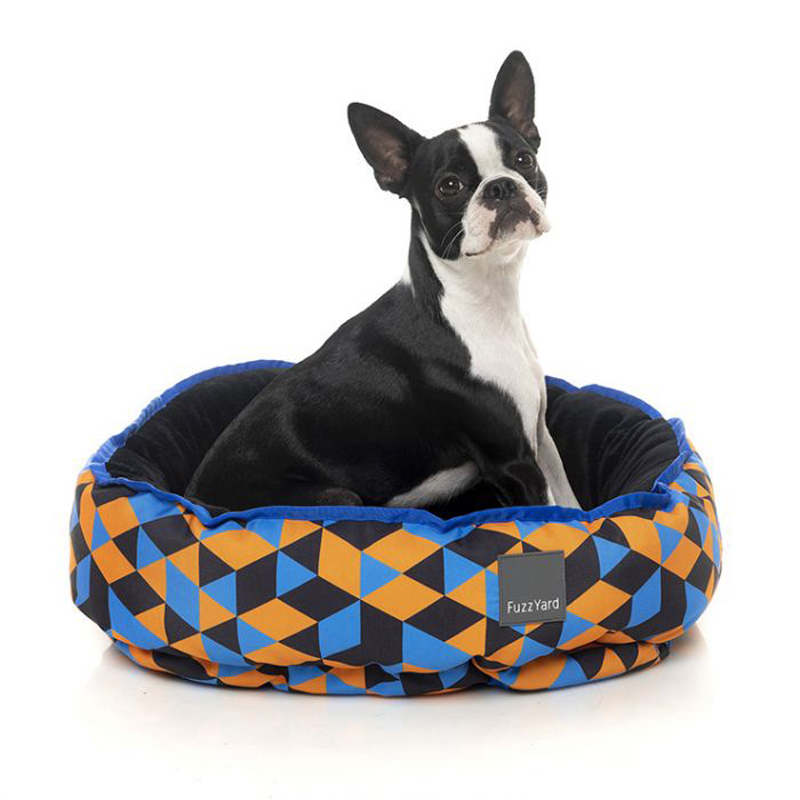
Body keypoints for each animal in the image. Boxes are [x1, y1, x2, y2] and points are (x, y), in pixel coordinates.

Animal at [186, 51, 579, 515]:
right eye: (449, 186)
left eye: (523, 160)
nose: (500, 186)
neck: (480, 301)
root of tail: (193, 499)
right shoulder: (513, 461)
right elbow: (552, 516)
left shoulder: (539, 436)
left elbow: (573, 505)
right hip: (337, 496)